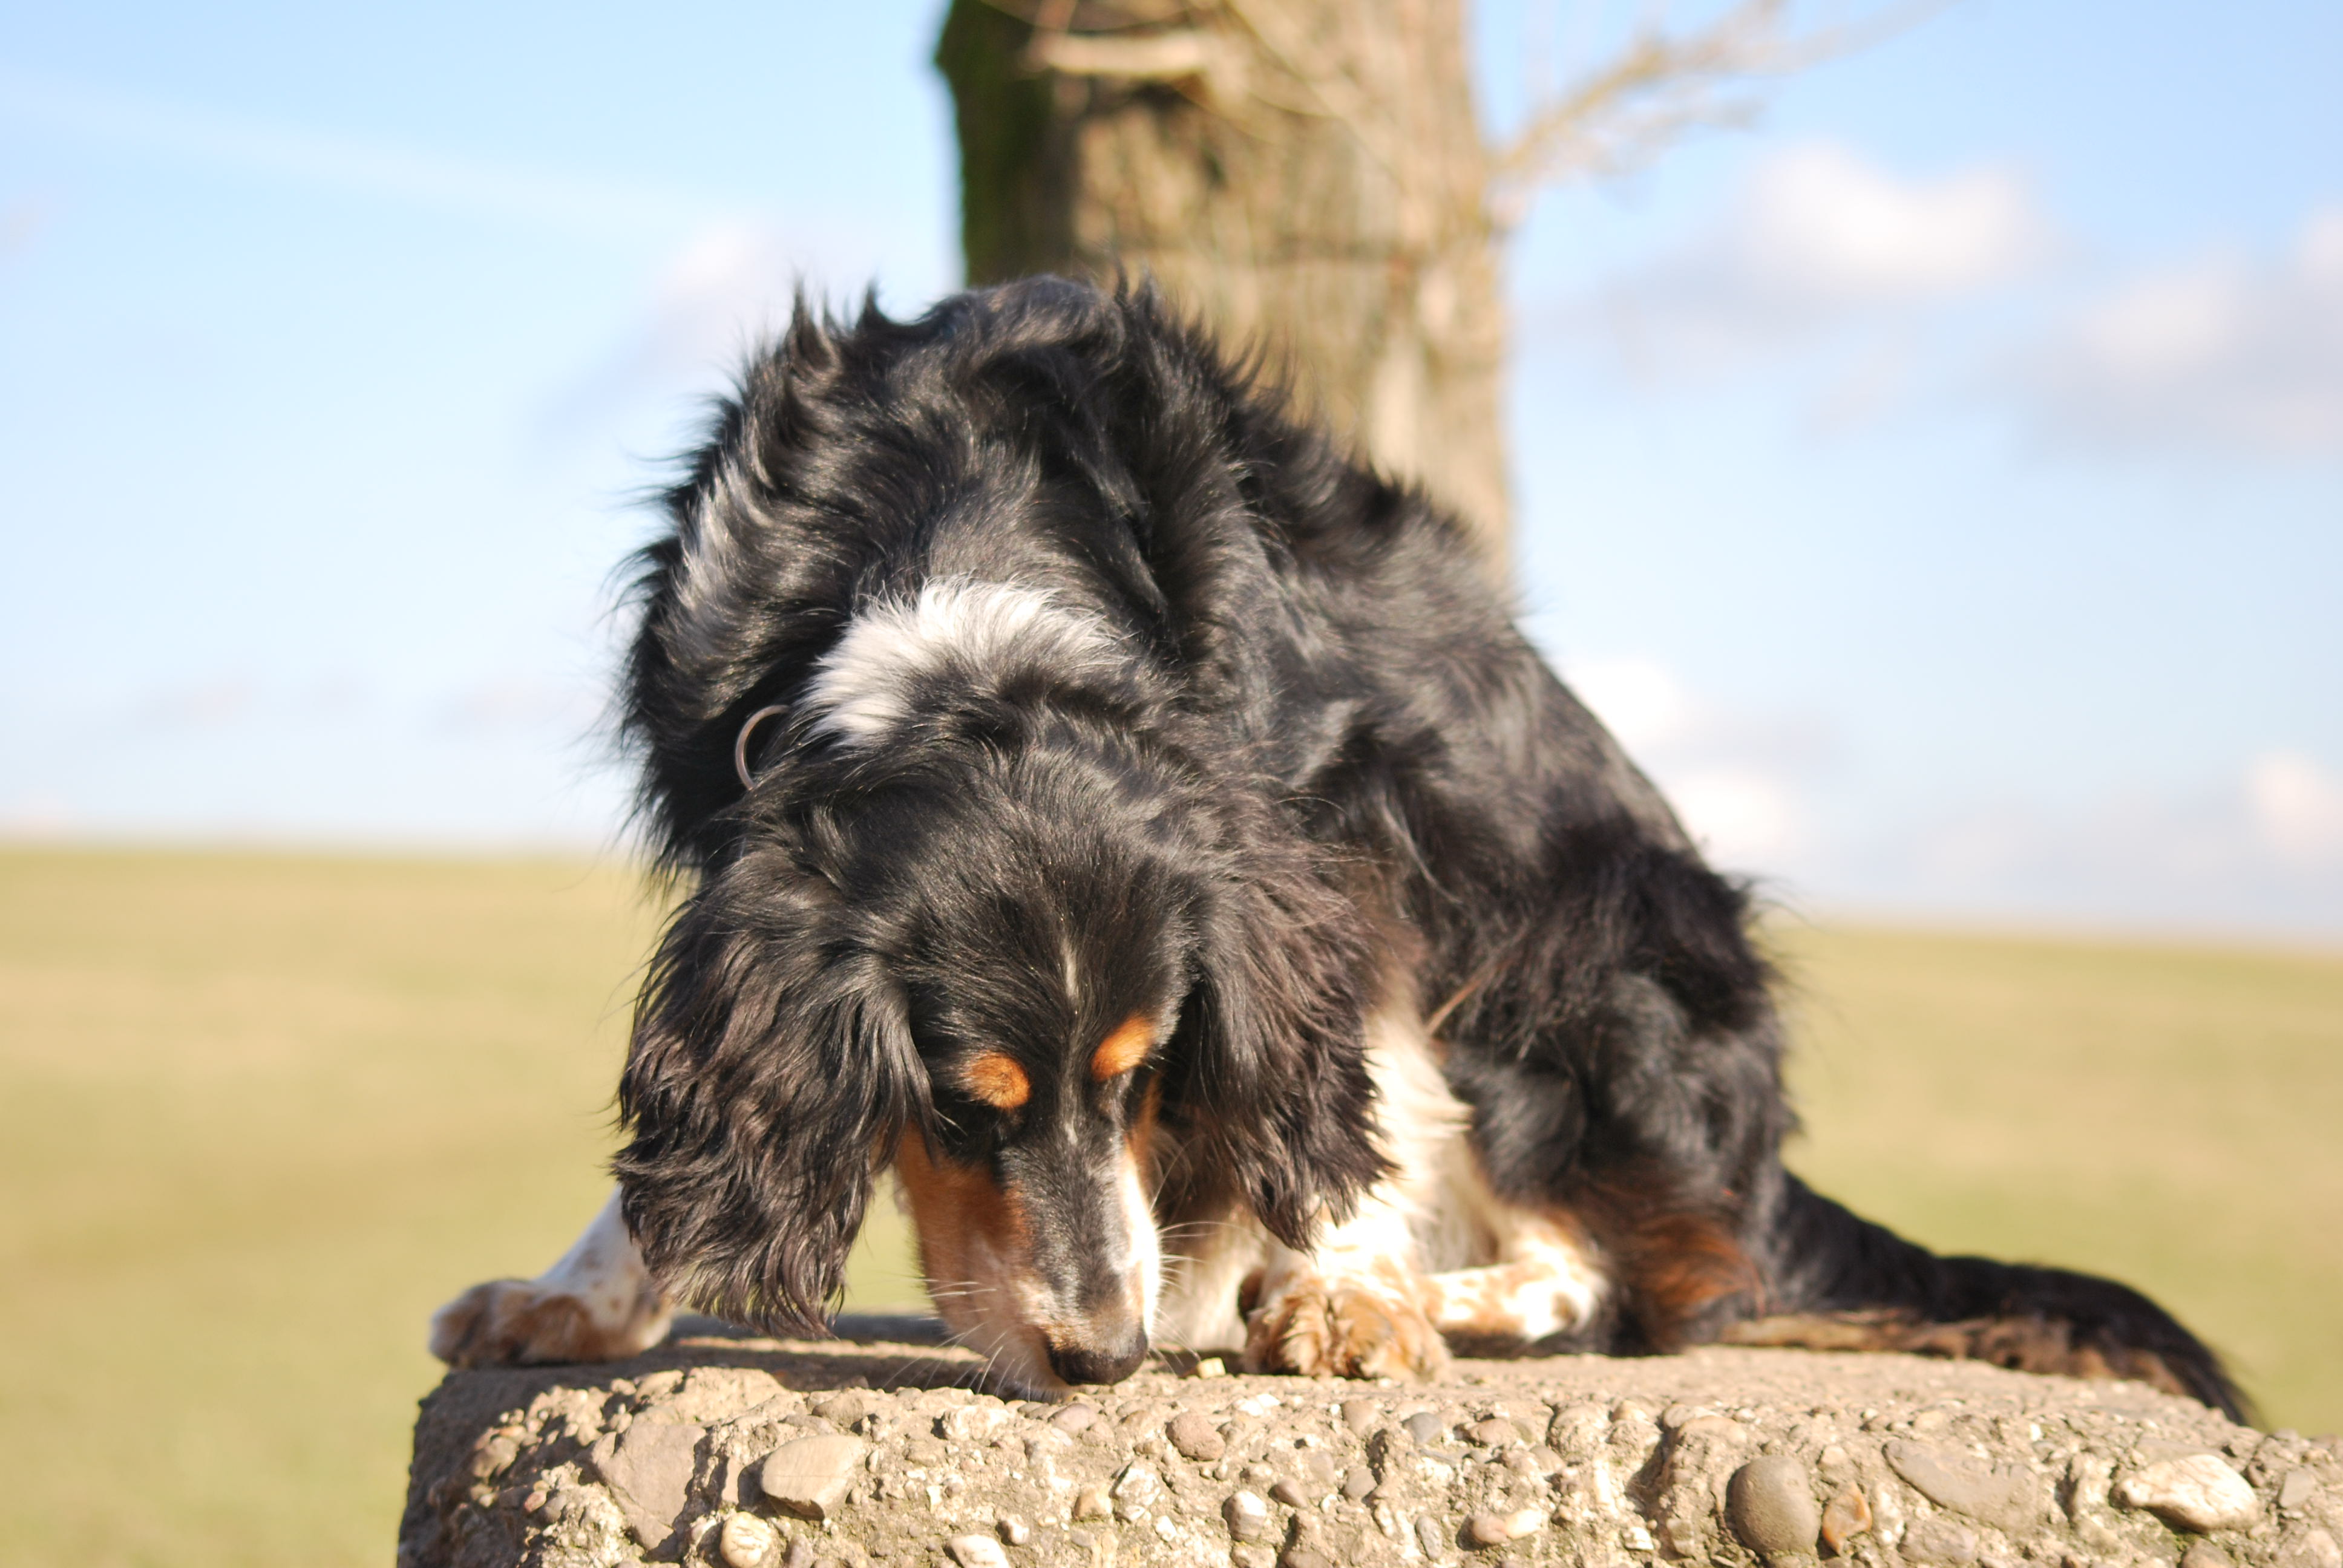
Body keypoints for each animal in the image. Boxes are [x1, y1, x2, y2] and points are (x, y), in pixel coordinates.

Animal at [431, 275, 2240, 1416]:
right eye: (960, 1106)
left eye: (1143, 1073)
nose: (1101, 1359)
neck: (969, 568)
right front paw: (584, 1293)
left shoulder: (1341, 836)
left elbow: (1344, 1094)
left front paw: (1326, 1286)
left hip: (1591, 951)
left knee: (1628, 1284)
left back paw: (1416, 1293)